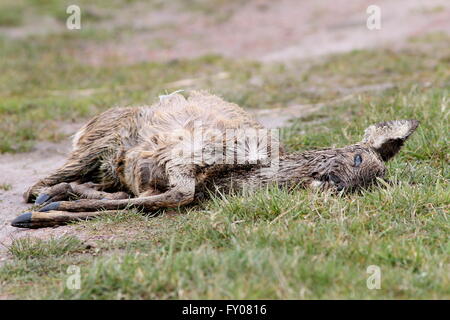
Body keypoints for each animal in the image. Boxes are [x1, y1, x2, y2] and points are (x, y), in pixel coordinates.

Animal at [12, 91, 420, 229]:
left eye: (372, 184)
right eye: (357, 159)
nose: (334, 186)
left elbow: (151, 200)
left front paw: (52, 210)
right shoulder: (195, 155)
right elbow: (176, 194)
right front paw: (38, 215)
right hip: (98, 141)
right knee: (36, 184)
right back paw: (44, 197)